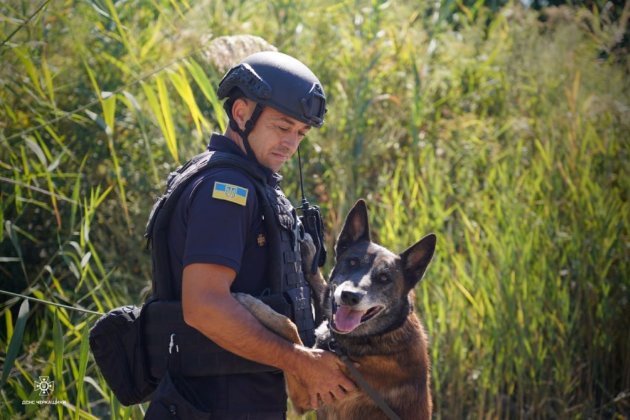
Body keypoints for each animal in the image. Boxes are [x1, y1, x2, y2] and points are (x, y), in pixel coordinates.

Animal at [235, 199, 436, 418]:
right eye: (352, 262)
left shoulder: (304, 395)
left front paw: (252, 303)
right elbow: (320, 285)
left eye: (384, 278)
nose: (349, 296)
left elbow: (289, 327)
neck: (377, 337)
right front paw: (309, 252)